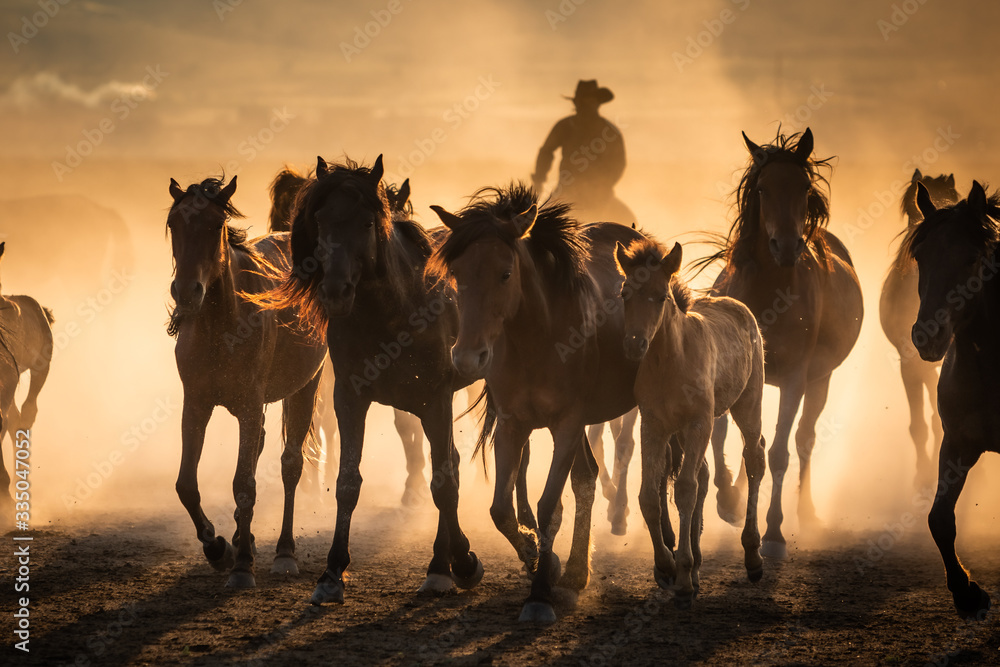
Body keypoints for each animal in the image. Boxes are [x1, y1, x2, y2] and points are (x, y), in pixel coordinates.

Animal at [166, 176, 327, 588]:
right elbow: (186, 485)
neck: (221, 325)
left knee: (290, 465)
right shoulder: (196, 404)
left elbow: (244, 484)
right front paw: (218, 548)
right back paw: (244, 540)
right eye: (174, 224)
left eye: (214, 226)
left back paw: (283, 552)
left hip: (304, 387)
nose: (186, 291)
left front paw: (240, 567)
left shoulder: (251, 405)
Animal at [429, 183, 642, 622]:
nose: (467, 357)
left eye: (505, 273)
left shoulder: (566, 425)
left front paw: (540, 594)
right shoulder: (513, 425)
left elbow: (548, 508)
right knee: (586, 478)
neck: (538, 339)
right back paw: (576, 570)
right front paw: (535, 557)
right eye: (457, 274)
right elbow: (501, 510)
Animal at [616, 237, 765, 607]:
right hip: (683, 433)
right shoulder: (654, 426)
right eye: (624, 293)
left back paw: (753, 557)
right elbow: (649, 496)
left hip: (748, 403)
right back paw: (697, 566)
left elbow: (684, 489)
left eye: (661, 296)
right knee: (704, 474)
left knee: (754, 458)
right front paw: (667, 566)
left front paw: (682, 577)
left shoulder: (700, 423)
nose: (635, 344)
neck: (671, 361)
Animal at [701, 128, 863, 558]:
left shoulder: (794, 378)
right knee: (751, 440)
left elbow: (778, 453)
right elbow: (721, 435)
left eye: (804, 186)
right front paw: (727, 500)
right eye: (762, 188)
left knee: (802, 440)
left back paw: (806, 514)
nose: (787, 247)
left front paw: (773, 533)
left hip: (819, 381)